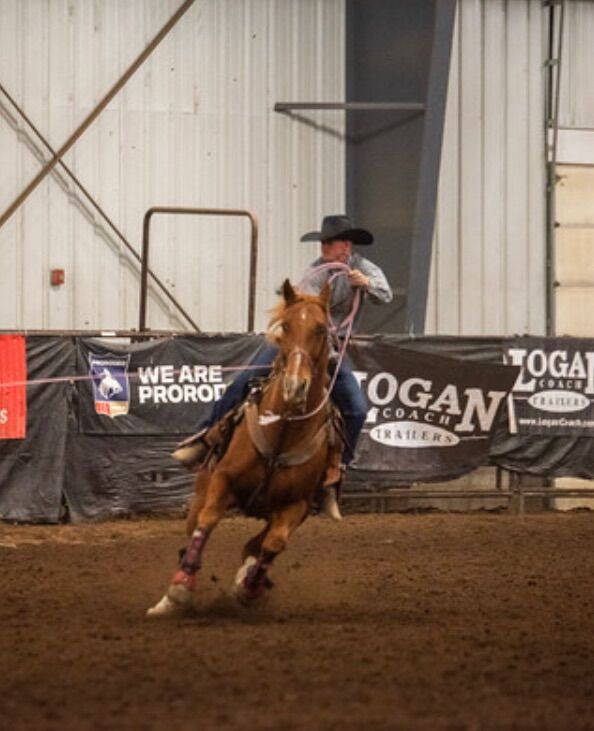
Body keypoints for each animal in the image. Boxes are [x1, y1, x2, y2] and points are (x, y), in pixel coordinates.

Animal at [147, 279, 342, 616]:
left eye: (320, 329)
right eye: (285, 326)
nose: (294, 387)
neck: (282, 434)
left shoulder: (297, 505)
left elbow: (274, 544)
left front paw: (249, 587)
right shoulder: (223, 479)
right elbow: (208, 520)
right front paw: (180, 588)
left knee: (258, 544)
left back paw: (252, 579)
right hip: (202, 487)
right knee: (194, 528)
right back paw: (170, 597)